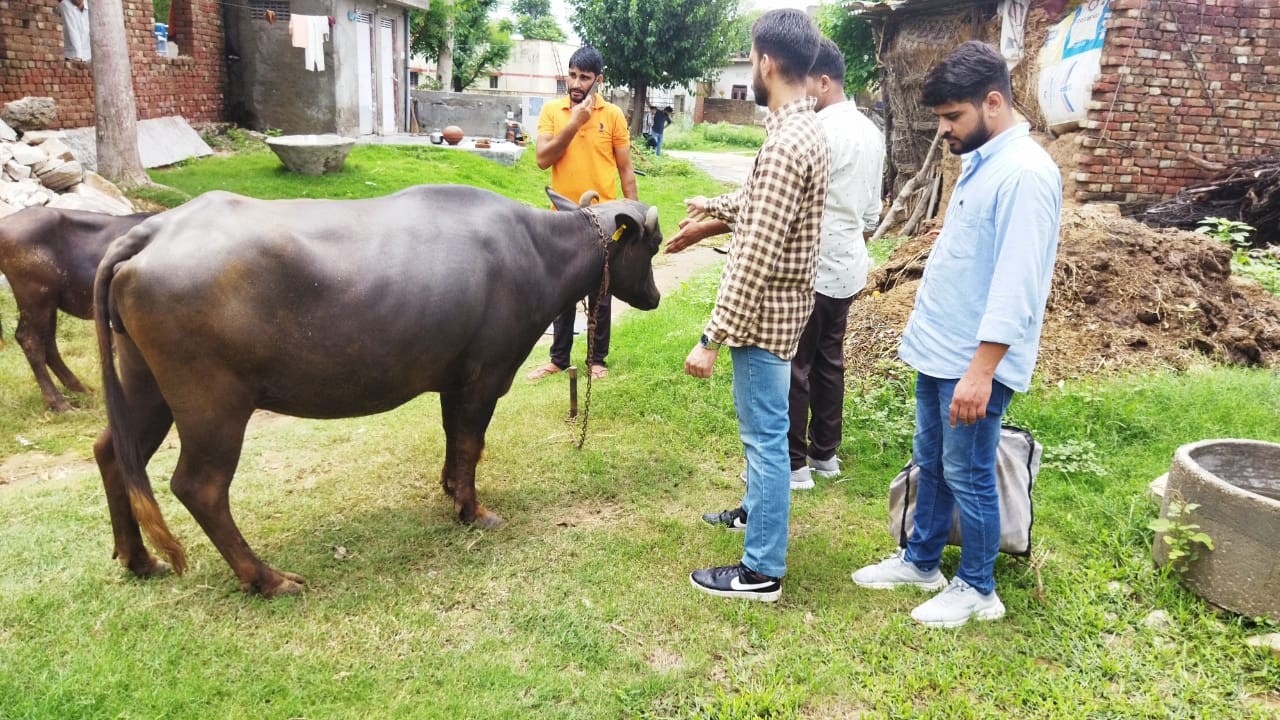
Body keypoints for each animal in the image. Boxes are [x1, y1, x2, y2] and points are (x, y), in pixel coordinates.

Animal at [0, 207, 149, 409]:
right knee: (30, 338)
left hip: (49, 302)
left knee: (48, 342)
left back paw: (80, 389)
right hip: (36, 296)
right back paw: (59, 404)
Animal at [92, 184, 660, 594]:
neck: (539, 251)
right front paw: (474, 512)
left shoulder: (453, 381)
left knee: (113, 453)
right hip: (213, 404)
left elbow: (454, 441)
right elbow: (471, 444)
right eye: (651, 247)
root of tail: (155, 230)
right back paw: (267, 579)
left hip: (145, 385)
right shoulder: (484, 379)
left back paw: (139, 558)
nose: (654, 298)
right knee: (199, 487)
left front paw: (451, 490)